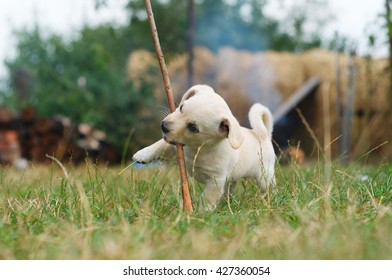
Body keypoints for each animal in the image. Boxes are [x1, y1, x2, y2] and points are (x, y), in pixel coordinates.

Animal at [132, 85, 276, 210]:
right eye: (181, 107)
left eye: (193, 127)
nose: (163, 126)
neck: (198, 148)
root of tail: (264, 135)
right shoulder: (176, 146)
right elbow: (160, 144)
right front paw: (143, 154)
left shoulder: (215, 181)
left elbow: (207, 198)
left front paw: (201, 214)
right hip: (232, 180)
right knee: (229, 190)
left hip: (264, 176)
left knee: (269, 186)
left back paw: (271, 199)